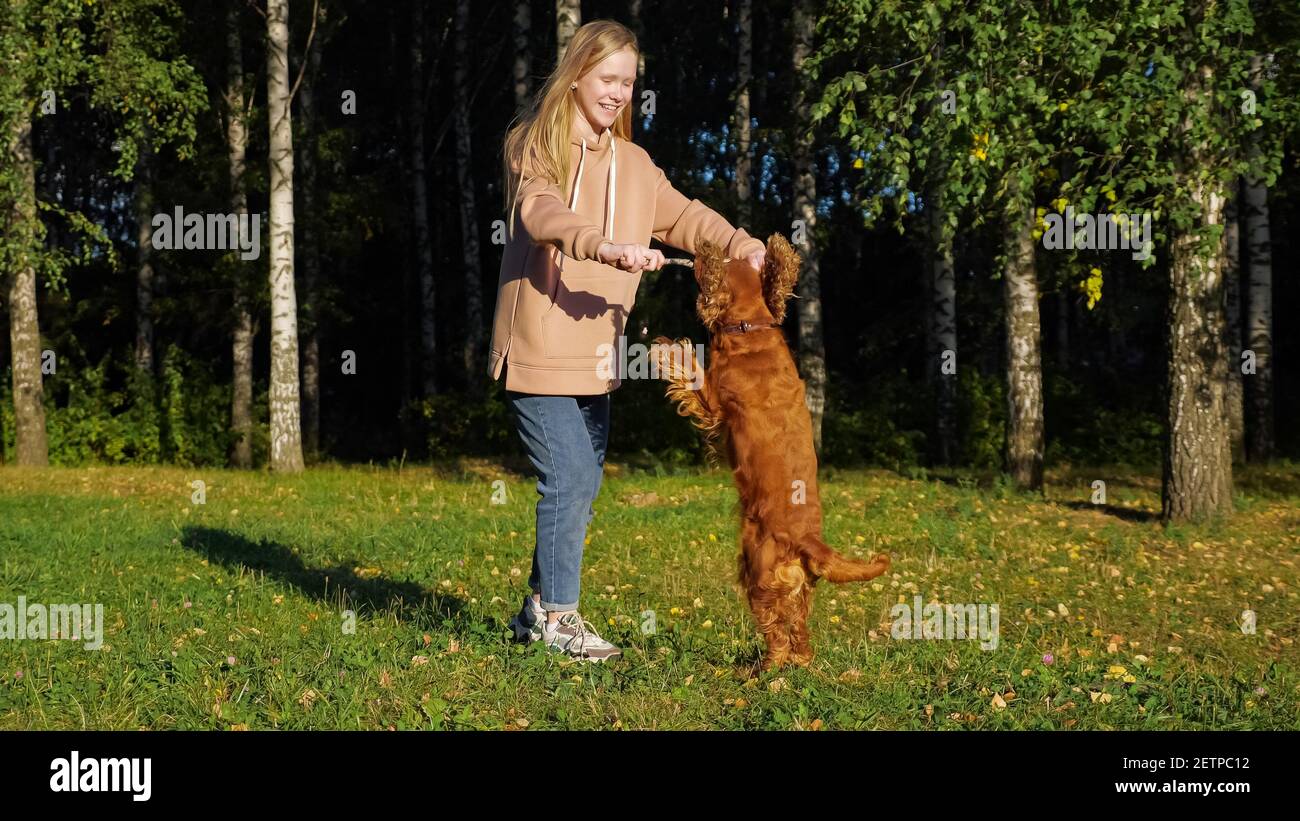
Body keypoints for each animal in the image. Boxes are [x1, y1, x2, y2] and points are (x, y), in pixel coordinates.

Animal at [655, 233, 889, 670]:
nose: (696, 255)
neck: (751, 328)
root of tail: (810, 542)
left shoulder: (714, 403)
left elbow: (690, 374)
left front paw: (666, 351)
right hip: (797, 586)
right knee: (799, 630)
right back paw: (797, 661)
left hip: (756, 569)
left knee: (776, 632)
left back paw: (762, 670)